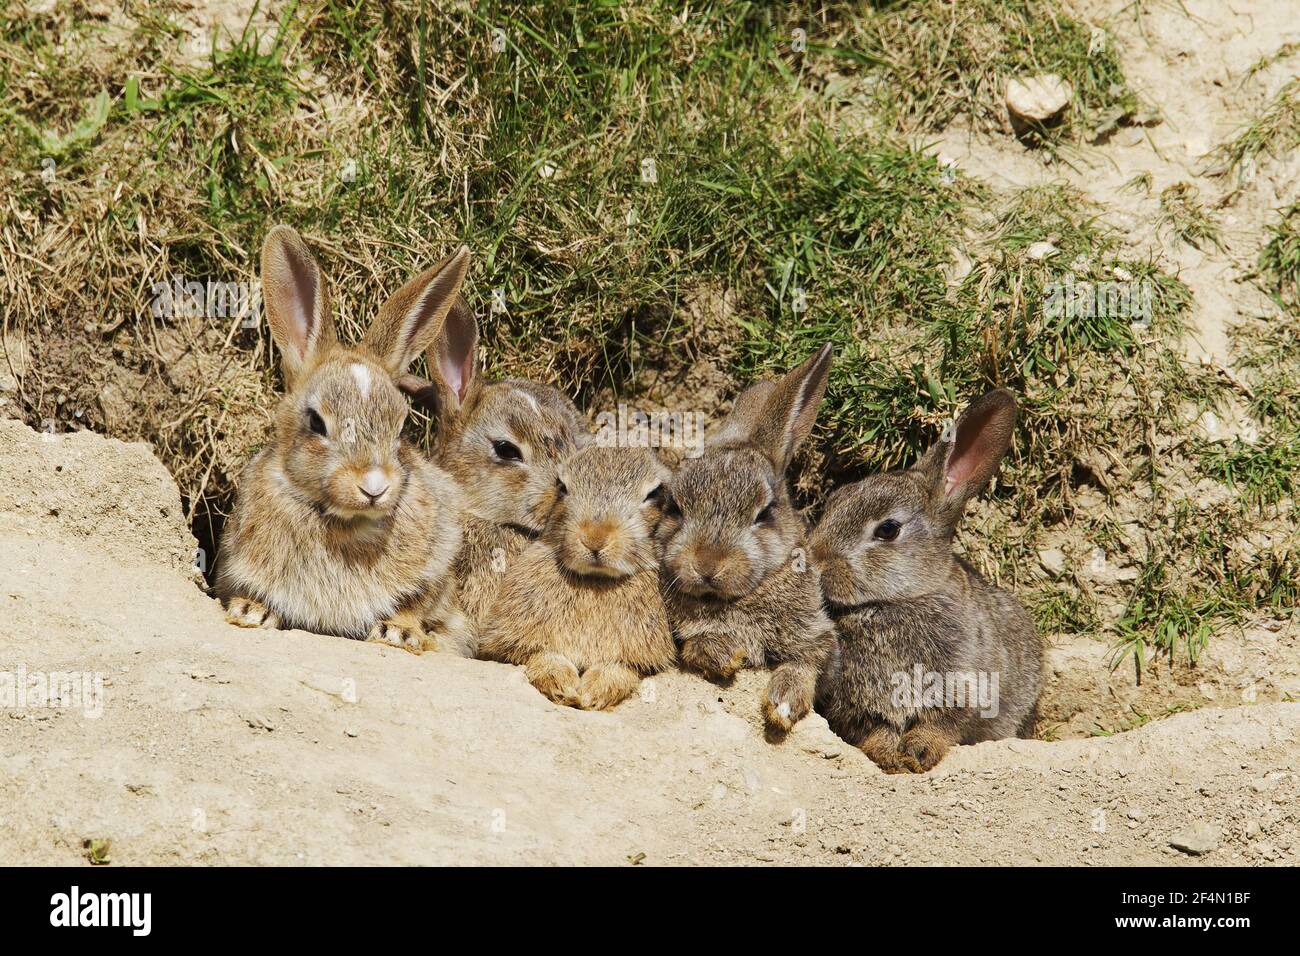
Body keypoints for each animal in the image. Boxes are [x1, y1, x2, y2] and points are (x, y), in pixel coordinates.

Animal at [213, 225, 473, 658]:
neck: (344, 522)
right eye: (316, 423)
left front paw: (398, 633)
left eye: (400, 427)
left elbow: (420, 602)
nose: (374, 486)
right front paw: (250, 611)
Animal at [483, 442, 676, 712]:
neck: (595, 579)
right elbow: (543, 656)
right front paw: (562, 686)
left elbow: (620, 669)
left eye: (653, 494)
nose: (594, 538)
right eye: (562, 487)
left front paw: (593, 694)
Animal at [655, 348, 837, 738]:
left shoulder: (817, 638)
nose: (707, 564)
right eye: (674, 507)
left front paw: (783, 704)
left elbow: (805, 664)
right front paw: (724, 653)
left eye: (764, 512)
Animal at [811, 390, 1045, 770]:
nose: (815, 562)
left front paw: (919, 752)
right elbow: (876, 728)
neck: (897, 601)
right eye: (832, 502)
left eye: (888, 529)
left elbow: (941, 724)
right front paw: (888, 755)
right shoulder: (857, 705)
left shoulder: (963, 689)